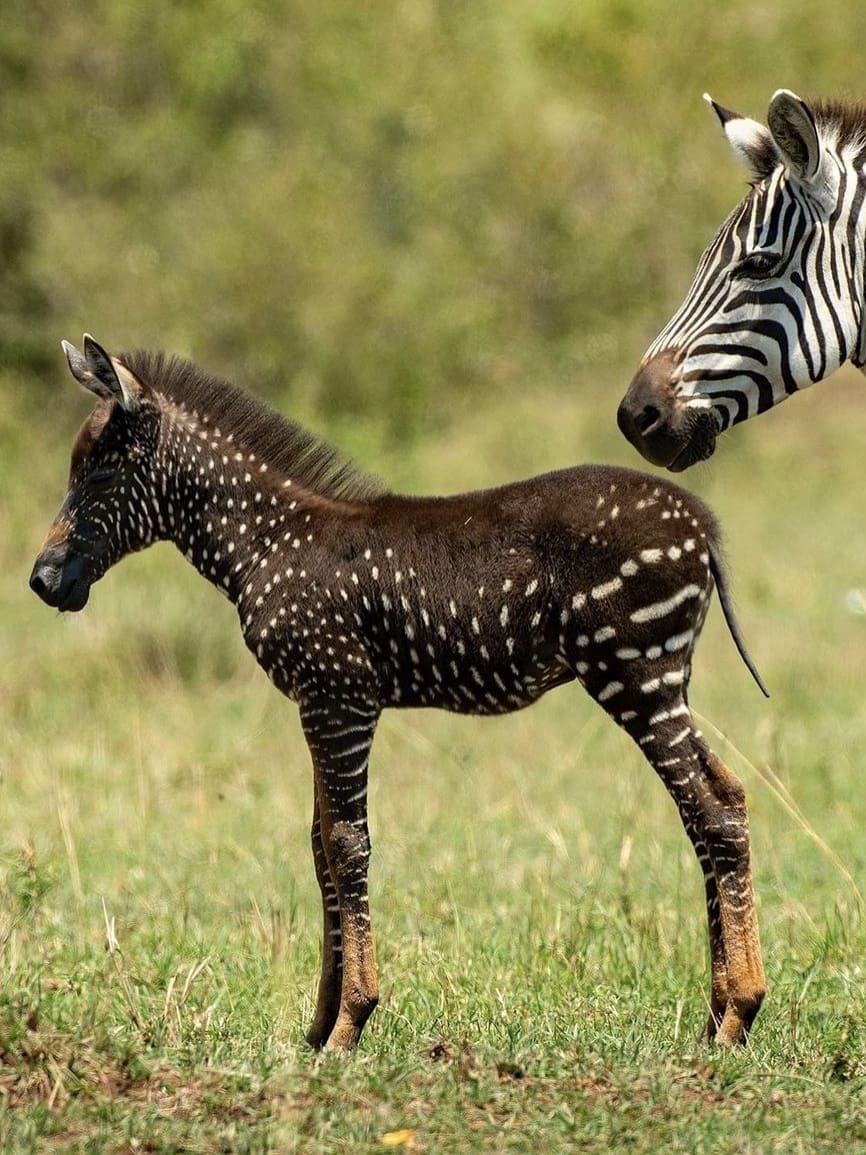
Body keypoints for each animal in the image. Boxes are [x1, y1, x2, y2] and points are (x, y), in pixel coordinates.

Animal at [30, 336, 767, 1051]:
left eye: (99, 473)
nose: (42, 582)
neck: (266, 540)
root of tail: (702, 525)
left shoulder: (339, 697)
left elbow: (347, 845)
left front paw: (351, 1022)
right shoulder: (321, 700)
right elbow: (320, 847)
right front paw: (319, 1026)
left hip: (635, 675)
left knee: (712, 811)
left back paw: (740, 1013)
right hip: (661, 681)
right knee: (723, 798)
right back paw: (716, 1017)